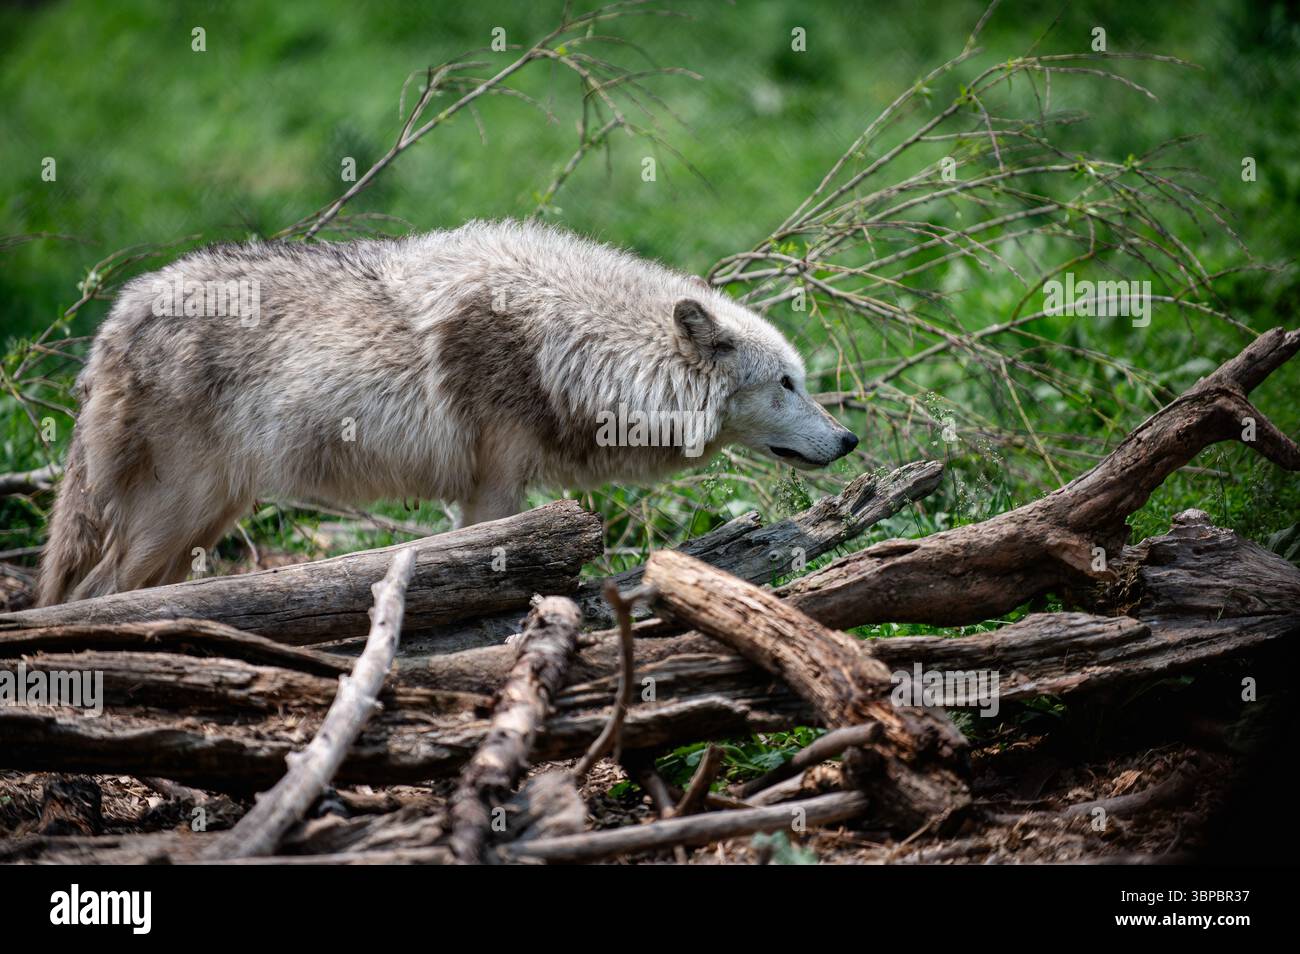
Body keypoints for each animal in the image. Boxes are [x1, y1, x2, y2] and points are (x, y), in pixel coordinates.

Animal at [37, 220, 858, 605]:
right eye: (787, 384)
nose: (849, 439)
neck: (569, 342)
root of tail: (114, 322)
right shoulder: (493, 493)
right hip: (175, 515)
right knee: (92, 597)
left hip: (206, 520)